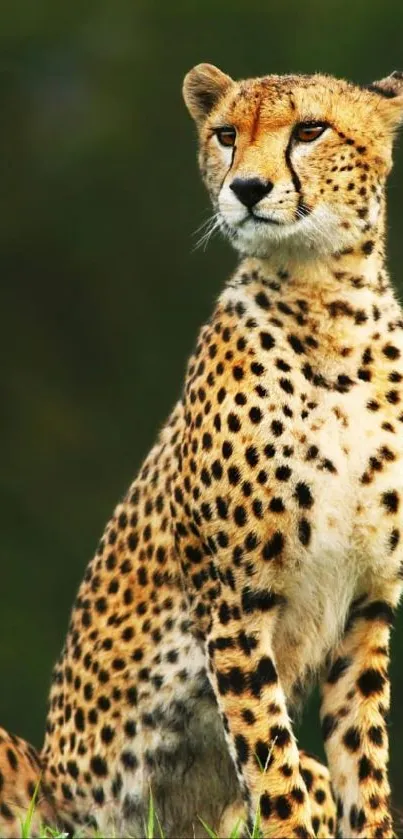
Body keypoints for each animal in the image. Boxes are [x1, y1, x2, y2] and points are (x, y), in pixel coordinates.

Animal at [0, 65, 403, 839]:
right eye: (224, 135)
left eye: (310, 130)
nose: (244, 187)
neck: (327, 302)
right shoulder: (234, 606)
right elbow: (271, 763)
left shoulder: (367, 608)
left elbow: (360, 770)